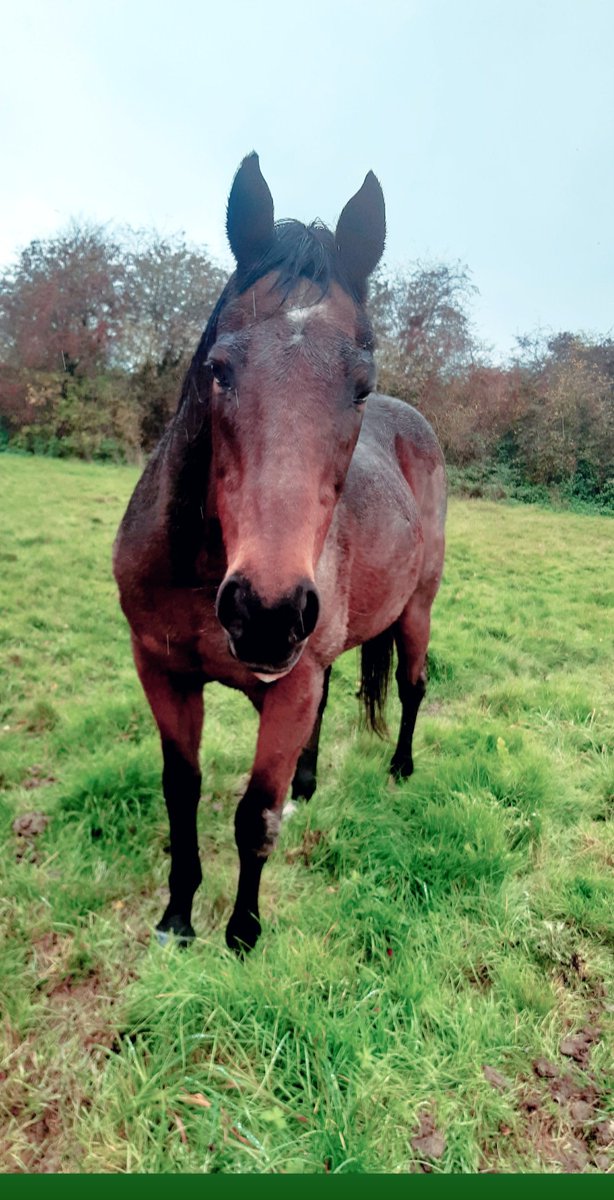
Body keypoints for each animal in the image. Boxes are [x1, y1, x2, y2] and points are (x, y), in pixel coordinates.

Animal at [113, 153, 446, 954]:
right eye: (220, 368)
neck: (200, 571)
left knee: (413, 686)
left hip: (415, 611)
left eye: (360, 386)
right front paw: (177, 918)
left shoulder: (289, 680)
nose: (264, 611)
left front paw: (242, 934)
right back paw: (310, 782)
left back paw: (400, 768)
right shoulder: (163, 672)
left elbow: (253, 817)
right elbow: (181, 793)